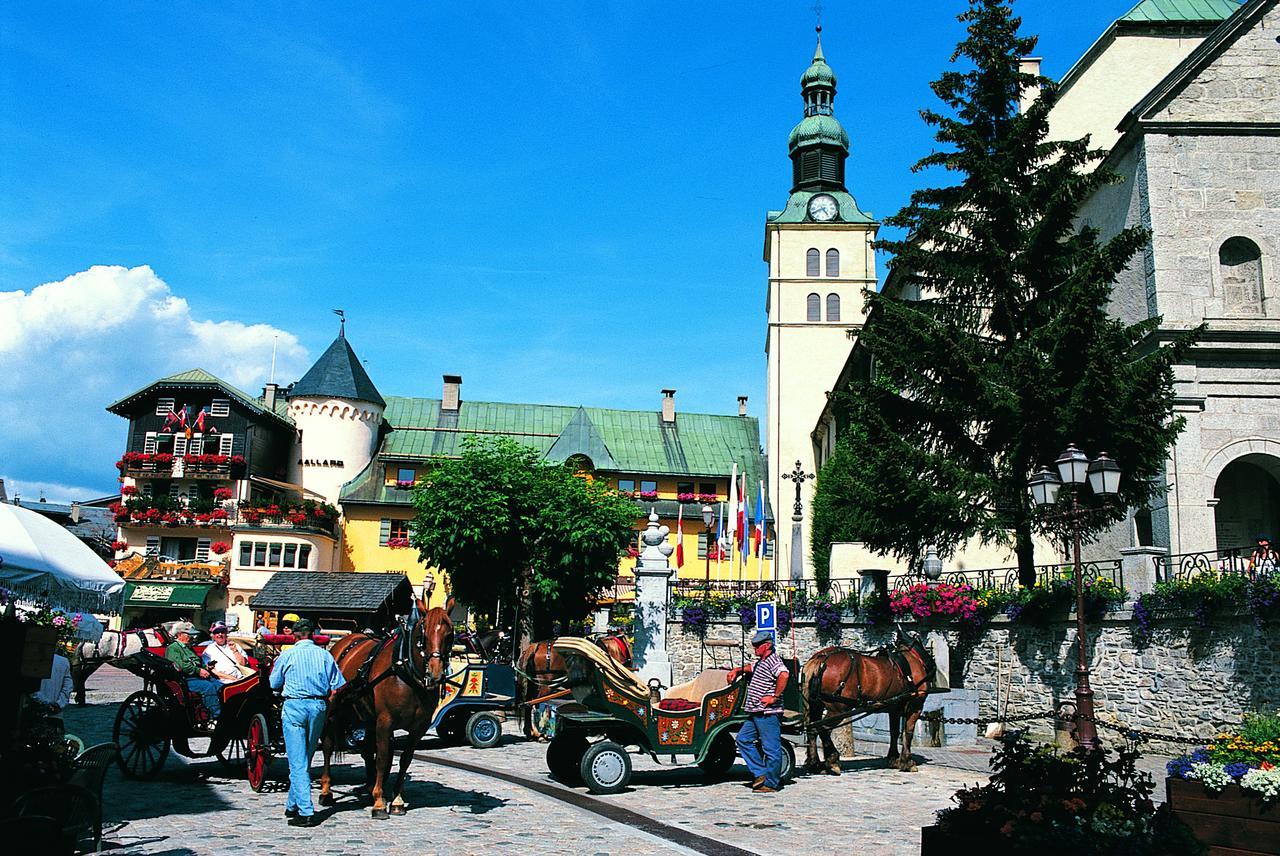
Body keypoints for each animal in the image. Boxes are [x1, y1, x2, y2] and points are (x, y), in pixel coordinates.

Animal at [318, 593, 455, 813]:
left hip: (365, 716)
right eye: (422, 636)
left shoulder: (419, 728)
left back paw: (369, 785)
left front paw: (396, 799)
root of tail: (346, 641)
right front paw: (379, 803)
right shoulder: (385, 722)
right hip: (335, 711)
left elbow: (404, 759)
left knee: (366, 750)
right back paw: (326, 791)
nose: (435, 672)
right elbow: (382, 758)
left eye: (449, 635)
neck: (406, 671)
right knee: (328, 746)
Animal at [793, 624, 936, 772]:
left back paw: (815, 762)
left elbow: (894, 732)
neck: (914, 658)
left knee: (812, 729)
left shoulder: (894, 708)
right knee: (823, 729)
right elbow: (908, 732)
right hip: (838, 709)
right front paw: (907, 761)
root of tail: (819, 659)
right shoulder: (916, 705)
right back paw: (832, 759)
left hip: (815, 705)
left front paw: (893, 759)